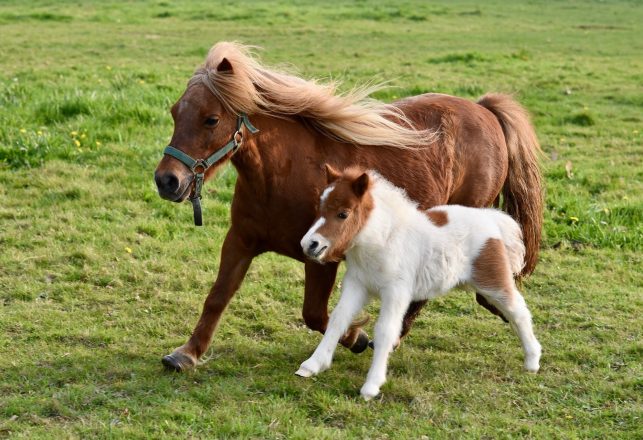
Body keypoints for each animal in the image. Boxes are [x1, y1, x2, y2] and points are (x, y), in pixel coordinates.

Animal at [156, 42, 544, 372]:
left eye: (211, 119)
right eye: (175, 112)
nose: (166, 180)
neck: (282, 174)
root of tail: (484, 110)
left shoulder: (321, 256)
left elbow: (315, 314)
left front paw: (356, 337)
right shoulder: (240, 241)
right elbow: (218, 297)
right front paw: (186, 353)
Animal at [298, 165, 544, 398]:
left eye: (343, 214)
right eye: (320, 208)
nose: (309, 244)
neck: (383, 240)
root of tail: (490, 218)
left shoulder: (396, 292)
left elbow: (386, 330)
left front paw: (371, 386)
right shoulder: (357, 285)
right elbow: (338, 319)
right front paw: (312, 365)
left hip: (492, 282)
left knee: (518, 311)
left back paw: (532, 360)